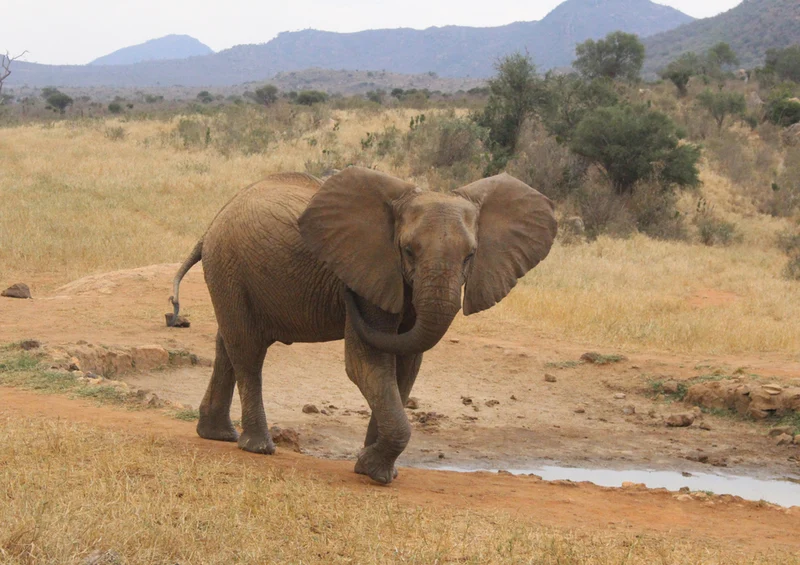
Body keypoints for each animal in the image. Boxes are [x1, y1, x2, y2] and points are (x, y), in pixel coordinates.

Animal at [168, 167, 557, 484]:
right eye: (408, 250)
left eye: (471, 256)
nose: (344, 293)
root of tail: (210, 225)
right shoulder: (373, 272)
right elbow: (366, 363)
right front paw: (373, 470)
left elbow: (405, 366)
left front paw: (372, 468)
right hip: (229, 264)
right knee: (248, 350)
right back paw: (258, 447)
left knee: (228, 344)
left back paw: (218, 435)